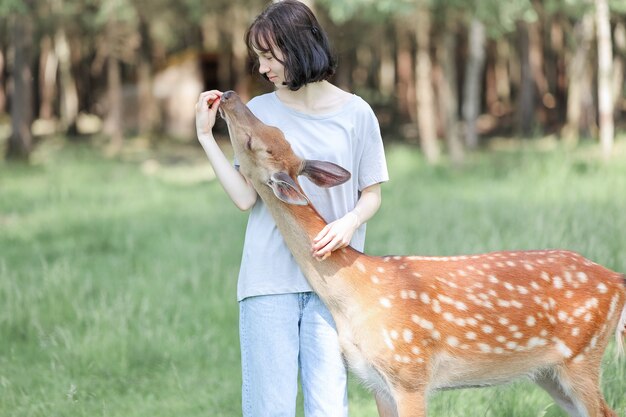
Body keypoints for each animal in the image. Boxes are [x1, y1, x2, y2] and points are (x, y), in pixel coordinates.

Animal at [217, 89, 624, 414]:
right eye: (276, 132)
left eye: (254, 142)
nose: (229, 96)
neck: (356, 294)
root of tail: (617, 280)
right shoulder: (375, 380)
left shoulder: (410, 370)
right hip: (548, 372)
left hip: (581, 354)